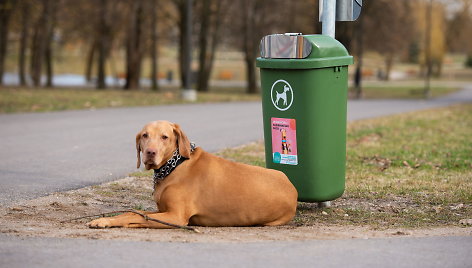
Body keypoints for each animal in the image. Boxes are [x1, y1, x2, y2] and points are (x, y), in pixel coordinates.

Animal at [86, 121, 296, 228]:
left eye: (165, 137)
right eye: (145, 135)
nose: (150, 153)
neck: (175, 165)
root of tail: (293, 190)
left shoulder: (176, 217)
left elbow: (138, 217)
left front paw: (106, 221)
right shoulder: (163, 211)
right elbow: (133, 213)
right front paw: (106, 220)